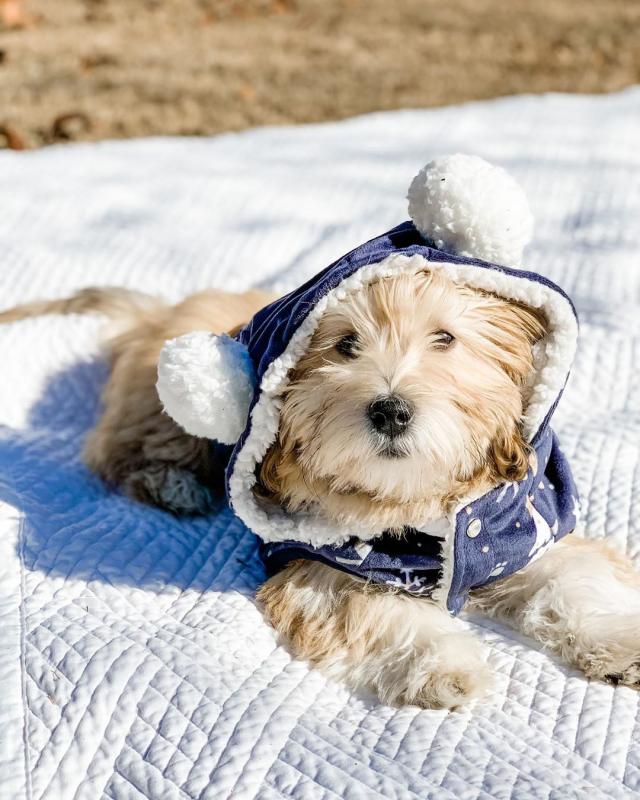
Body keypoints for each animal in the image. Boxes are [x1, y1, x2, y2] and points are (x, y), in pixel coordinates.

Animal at [5, 274, 640, 708]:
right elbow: (382, 614)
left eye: (445, 339)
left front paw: (619, 644)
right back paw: (175, 486)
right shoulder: (323, 566)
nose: (390, 410)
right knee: (116, 451)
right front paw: (444, 667)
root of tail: (164, 308)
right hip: (162, 409)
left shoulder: (521, 533)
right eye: (345, 345)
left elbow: (574, 584)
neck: (411, 505)